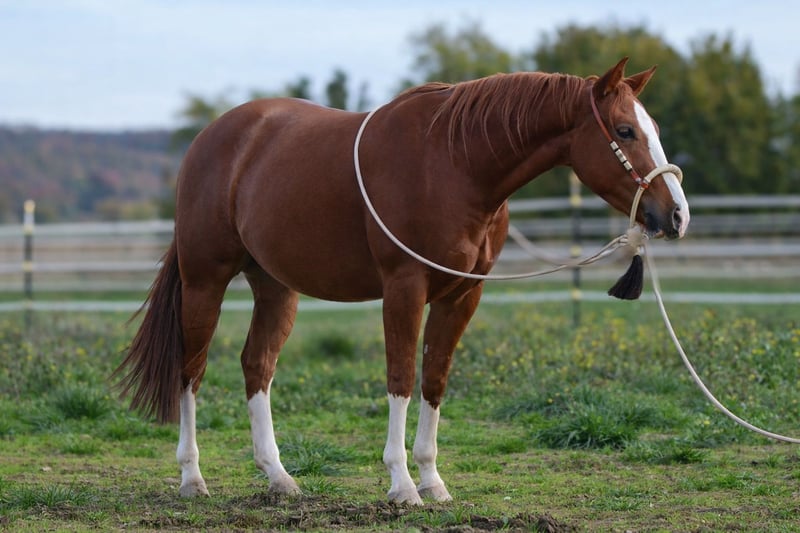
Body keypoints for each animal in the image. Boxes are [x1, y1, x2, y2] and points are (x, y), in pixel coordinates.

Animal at [116, 57, 689, 505]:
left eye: (656, 129)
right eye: (624, 131)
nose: (677, 215)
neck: (455, 165)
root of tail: (215, 137)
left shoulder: (462, 296)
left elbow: (433, 381)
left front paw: (433, 481)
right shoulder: (404, 289)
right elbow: (400, 378)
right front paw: (402, 484)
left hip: (276, 287)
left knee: (257, 365)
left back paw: (279, 477)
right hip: (205, 279)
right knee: (190, 370)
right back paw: (192, 478)